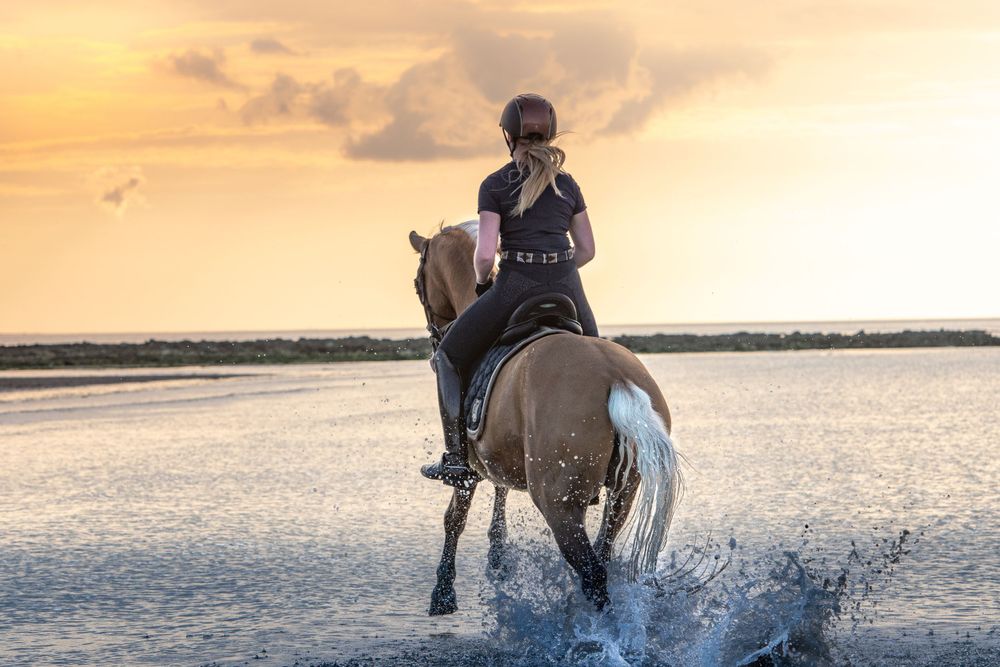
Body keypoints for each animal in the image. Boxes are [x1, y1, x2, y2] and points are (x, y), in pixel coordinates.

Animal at [409, 221, 682, 615]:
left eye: (418, 283)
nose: (434, 340)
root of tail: (616, 377)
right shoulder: (500, 457)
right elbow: (499, 496)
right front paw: (497, 557)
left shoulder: (470, 468)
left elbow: (454, 518)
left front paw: (443, 593)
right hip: (622, 494)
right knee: (601, 557)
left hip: (558, 503)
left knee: (593, 576)